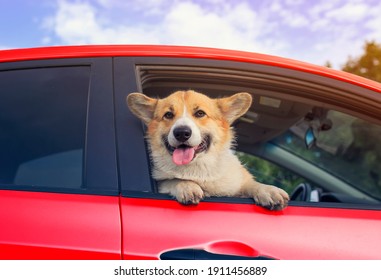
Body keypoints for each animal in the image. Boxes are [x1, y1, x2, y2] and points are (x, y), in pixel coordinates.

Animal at [125, 90, 288, 210]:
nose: (182, 133)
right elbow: (173, 180)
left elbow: (252, 184)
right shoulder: (162, 183)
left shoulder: (238, 184)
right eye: (168, 115)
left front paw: (269, 190)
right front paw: (187, 186)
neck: (198, 168)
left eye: (200, 113)